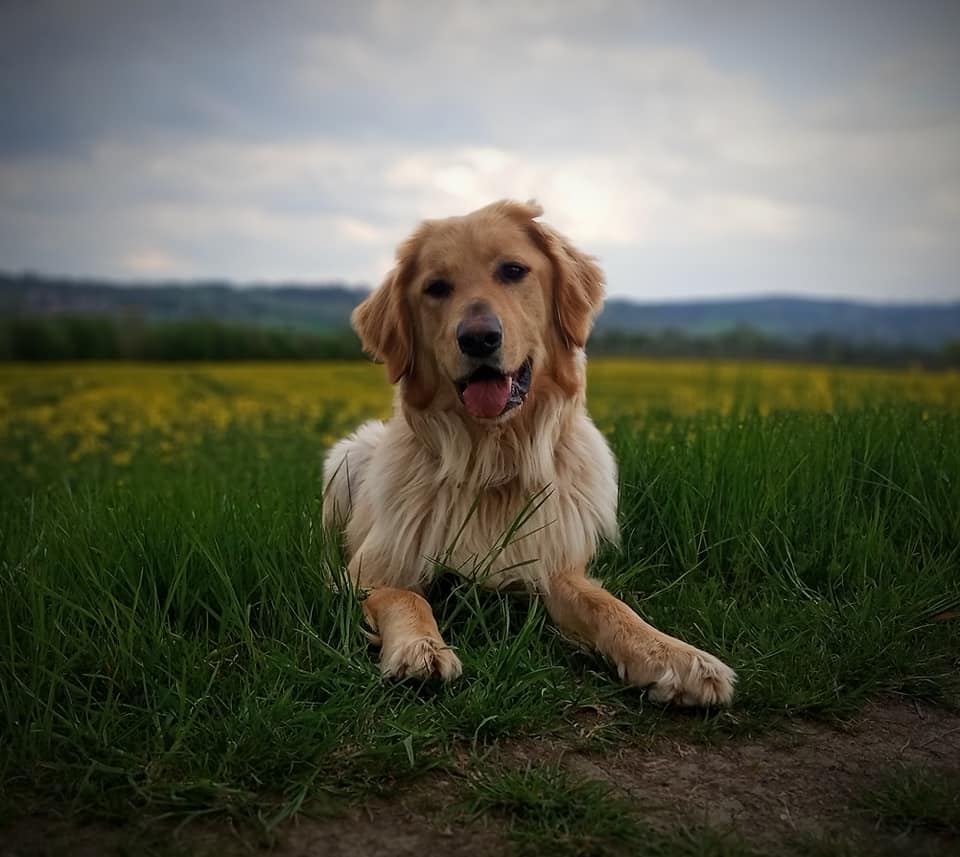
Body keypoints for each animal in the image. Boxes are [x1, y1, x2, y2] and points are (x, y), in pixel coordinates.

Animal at [323, 200, 735, 706]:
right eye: (436, 287)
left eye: (513, 270)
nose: (478, 337)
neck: (493, 458)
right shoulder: (366, 570)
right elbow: (406, 596)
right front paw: (419, 648)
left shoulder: (553, 564)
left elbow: (608, 605)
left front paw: (673, 655)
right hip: (348, 455)